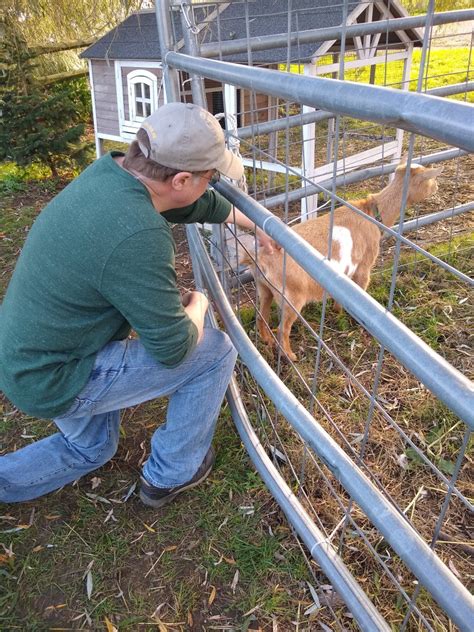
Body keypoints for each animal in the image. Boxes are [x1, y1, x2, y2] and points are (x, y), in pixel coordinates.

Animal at [246, 160, 442, 362]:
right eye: (430, 179)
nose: (437, 187)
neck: (372, 214)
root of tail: (259, 257)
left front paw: (337, 311)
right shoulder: (364, 266)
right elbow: (362, 287)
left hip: (264, 288)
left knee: (261, 316)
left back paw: (267, 341)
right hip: (292, 296)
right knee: (282, 329)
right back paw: (290, 356)